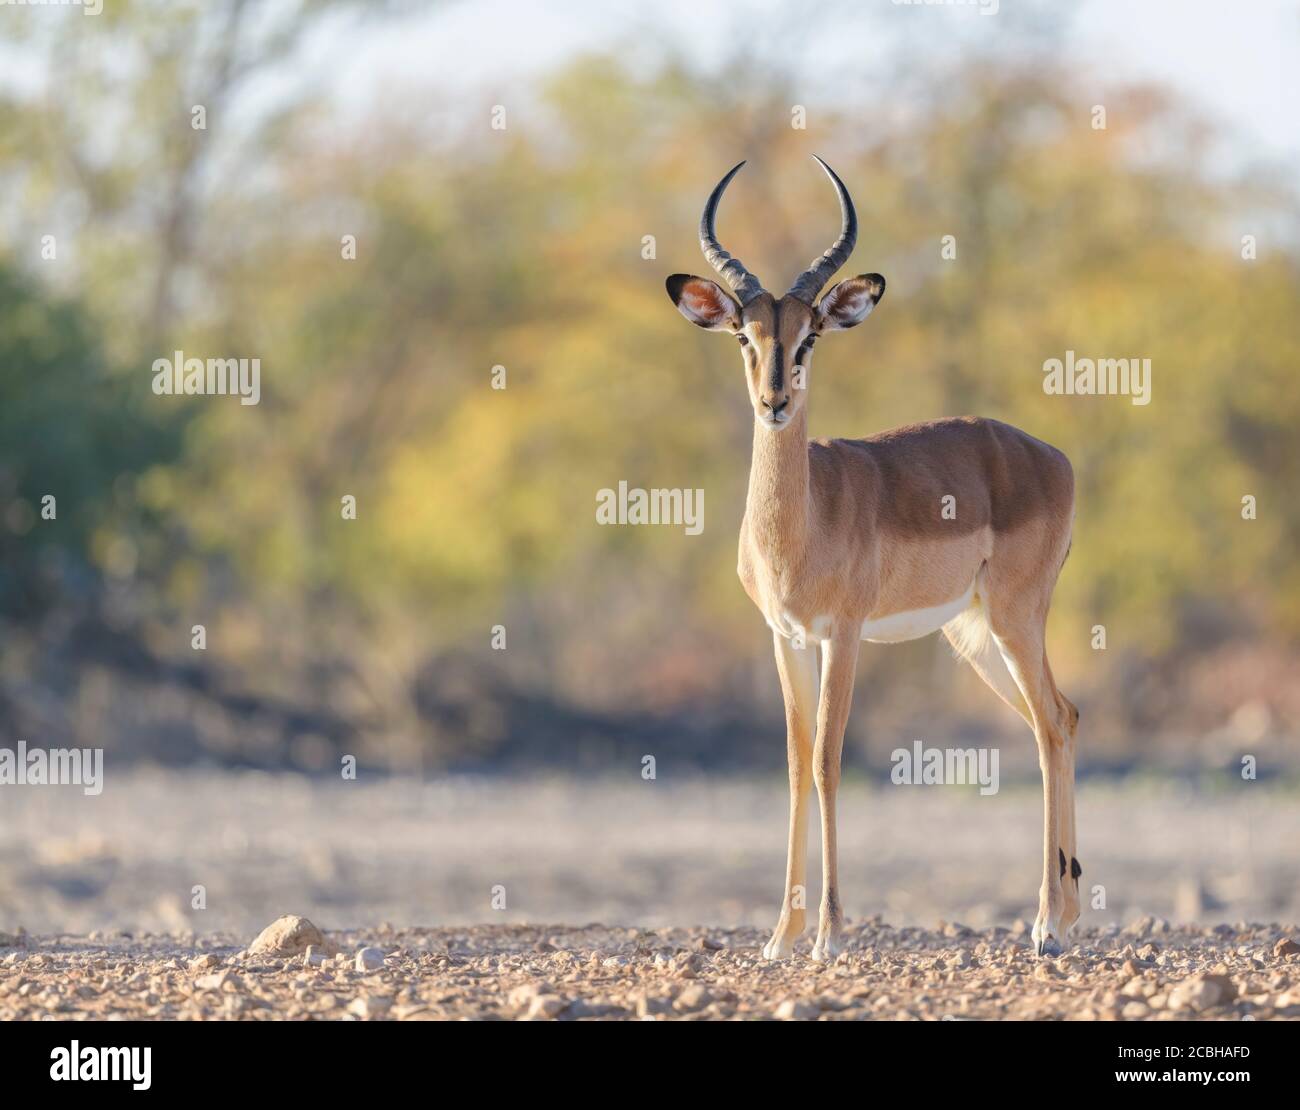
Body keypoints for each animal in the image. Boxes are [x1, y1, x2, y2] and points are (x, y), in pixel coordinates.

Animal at [666, 157, 1080, 961]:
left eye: (810, 339)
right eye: (744, 337)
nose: (774, 403)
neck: (800, 527)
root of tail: (1053, 457)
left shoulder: (844, 636)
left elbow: (828, 760)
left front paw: (828, 934)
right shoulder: (786, 638)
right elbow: (795, 762)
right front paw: (781, 936)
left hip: (1015, 619)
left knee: (1050, 725)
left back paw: (1046, 923)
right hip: (976, 637)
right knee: (1063, 717)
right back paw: (1070, 913)